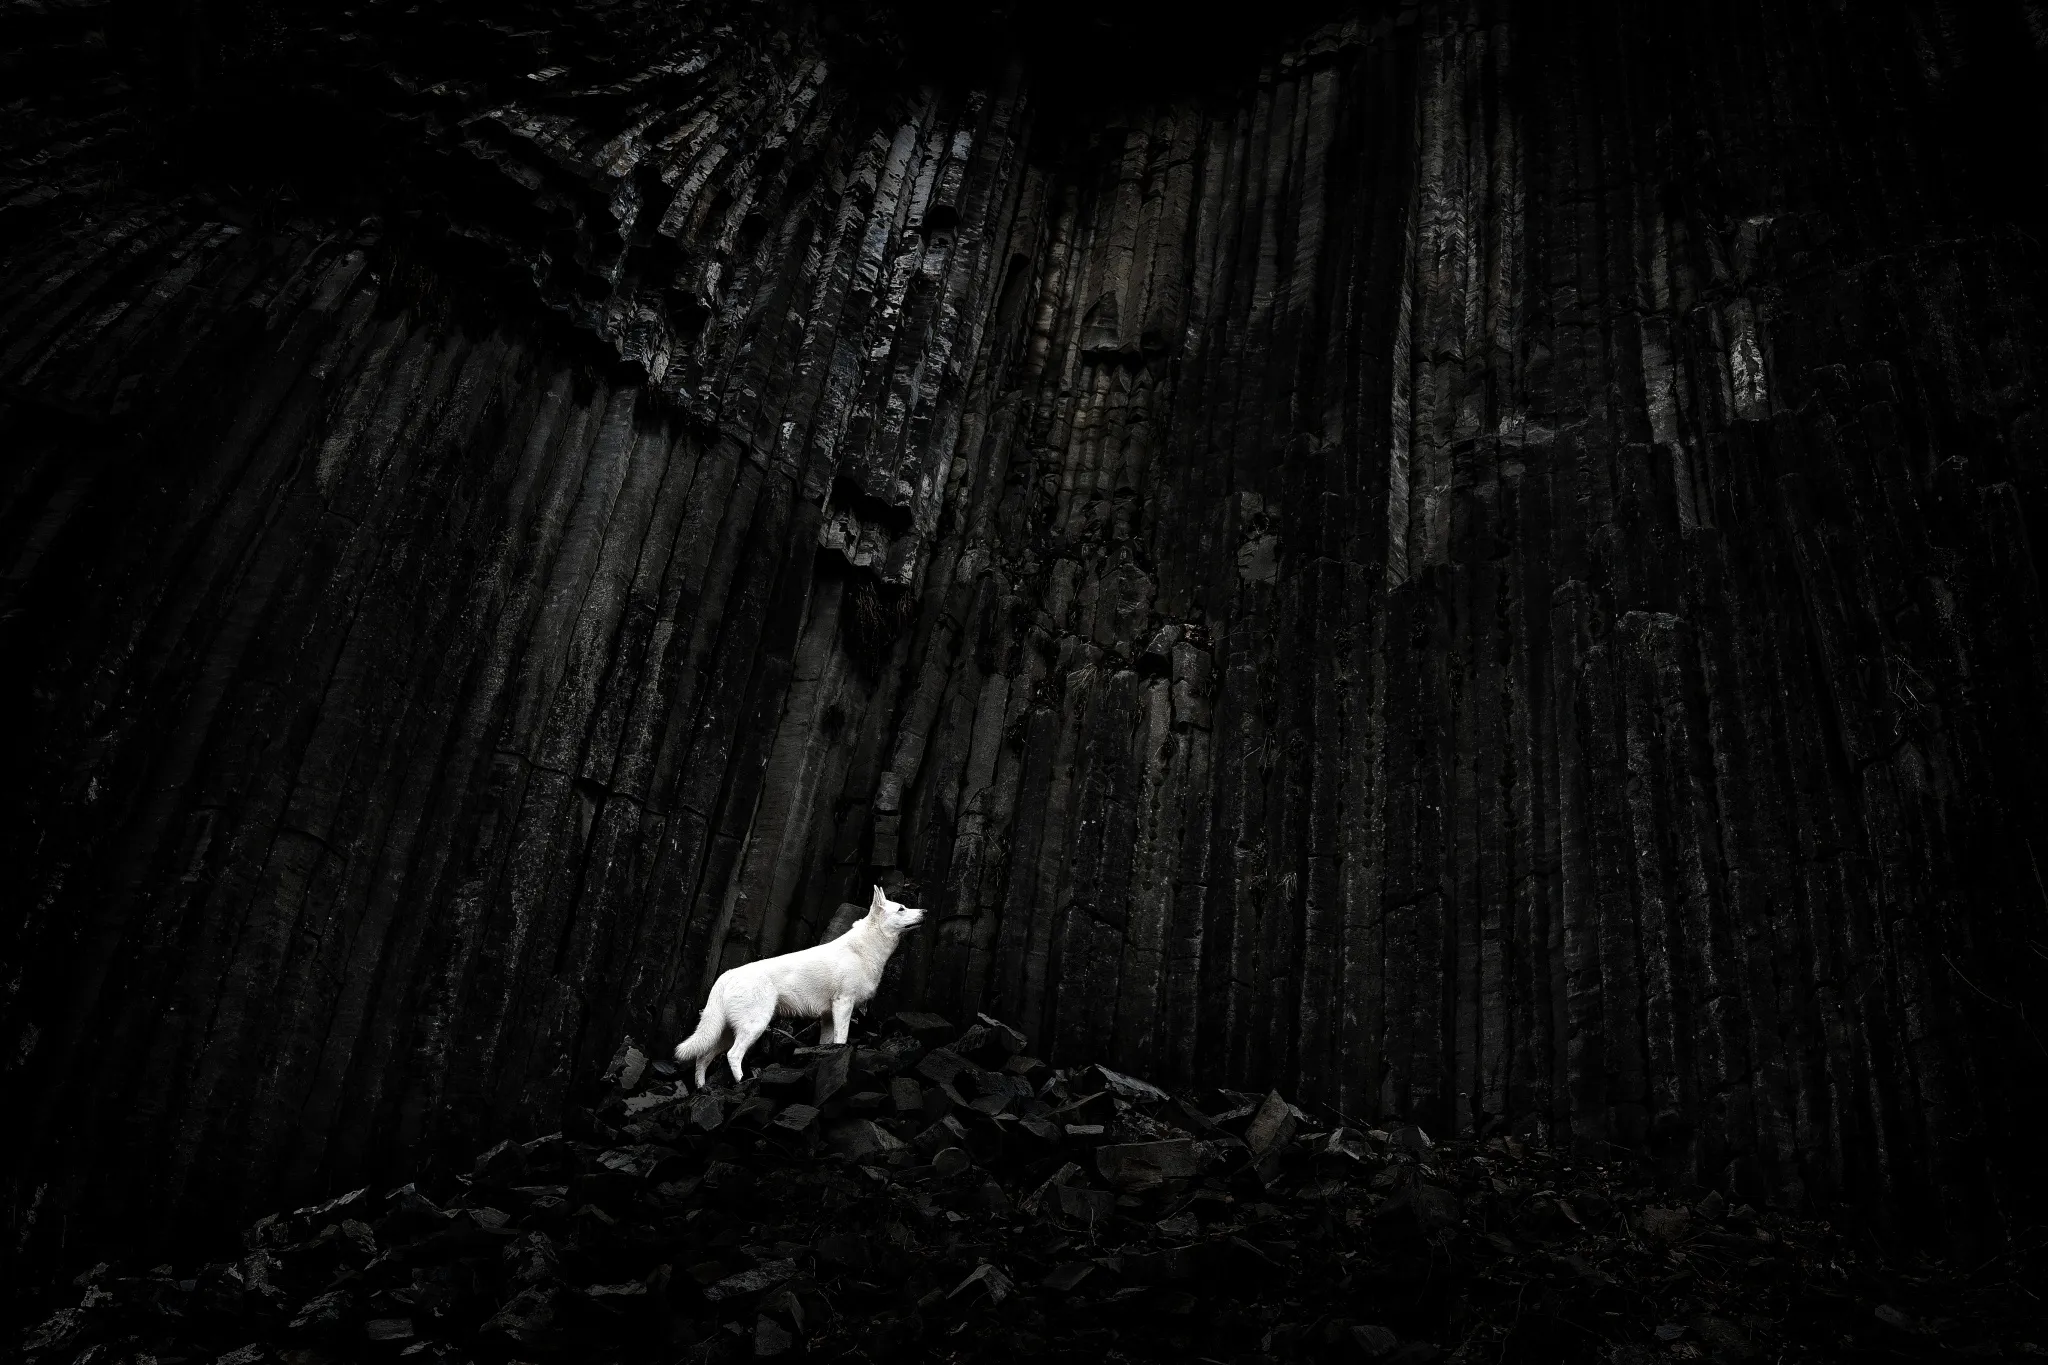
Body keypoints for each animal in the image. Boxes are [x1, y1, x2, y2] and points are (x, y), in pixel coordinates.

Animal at [672, 884, 926, 1088]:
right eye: (901, 909)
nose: (925, 912)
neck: (863, 949)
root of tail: (726, 976)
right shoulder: (843, 1003)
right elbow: (841, 1039)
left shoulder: (828, 1016)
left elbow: (827, 1043)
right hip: (754, 1025)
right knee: (733, 1055)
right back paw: (743, 1081)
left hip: (724, 1032)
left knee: (702, 1058)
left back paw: (702, 1089)